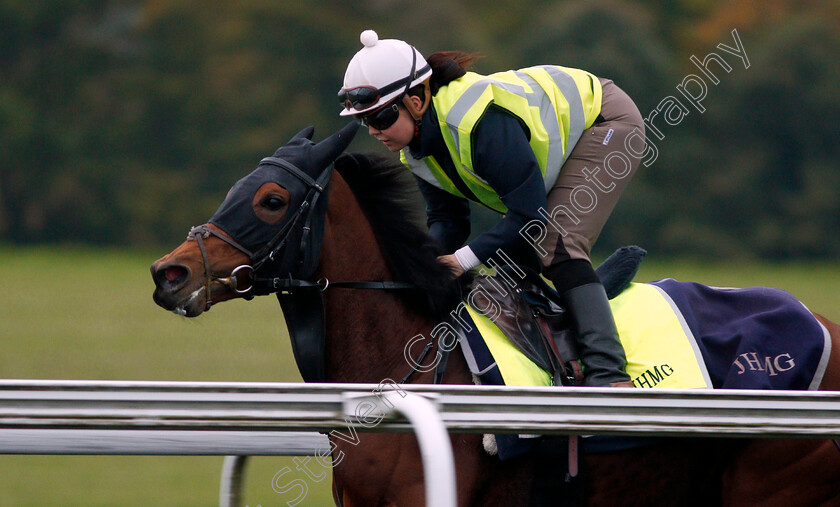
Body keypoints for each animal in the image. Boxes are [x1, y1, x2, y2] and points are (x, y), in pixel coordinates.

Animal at [149, 124, 840, 507]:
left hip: (771, 485)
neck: (411, 362)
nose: (168, 274)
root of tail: (824, 326)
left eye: (271, 200)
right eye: (235, 188)